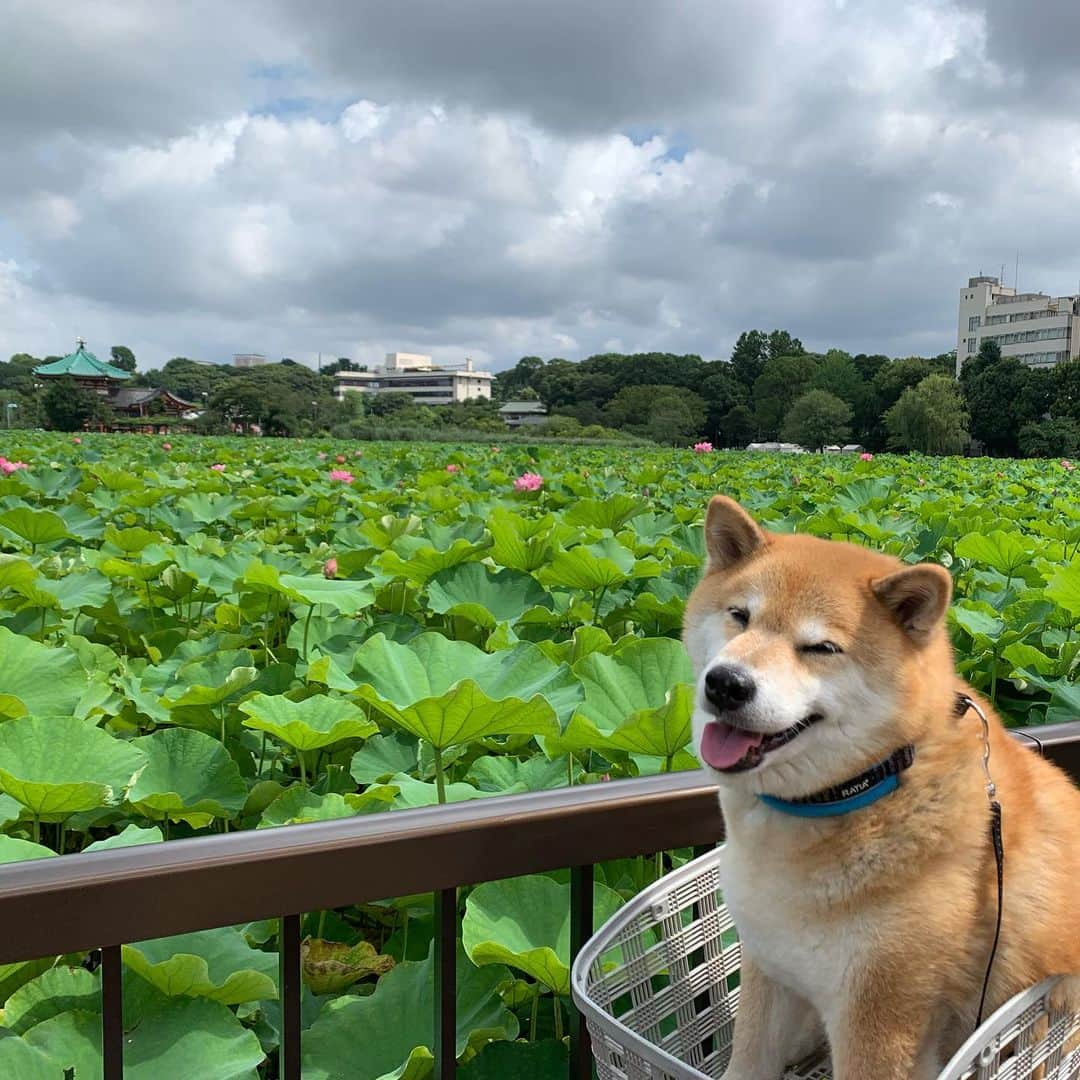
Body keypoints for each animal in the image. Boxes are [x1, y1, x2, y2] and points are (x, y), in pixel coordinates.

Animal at [682, 494, 1080, 1075]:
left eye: (821, 648)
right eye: (740, 616)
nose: (727, 683)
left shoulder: (879, 1013)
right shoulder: (768, 967)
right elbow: (748, 1058)